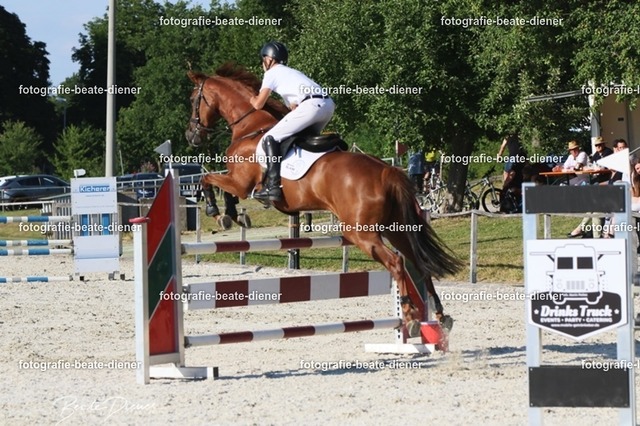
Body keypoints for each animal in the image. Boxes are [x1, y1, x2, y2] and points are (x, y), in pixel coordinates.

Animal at [185, 63, 462, 335]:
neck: (250, 128)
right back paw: (440, 314)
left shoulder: (240, 183)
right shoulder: (238, 182)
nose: (191, 136)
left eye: (193, 99)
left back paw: (410, 313)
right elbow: (220, 189)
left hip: (361, 233)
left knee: (396, 263)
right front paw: (232, 216)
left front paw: (218, 213)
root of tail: (387, 171)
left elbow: (208, 180)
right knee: (417, 261)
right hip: (396, 228)